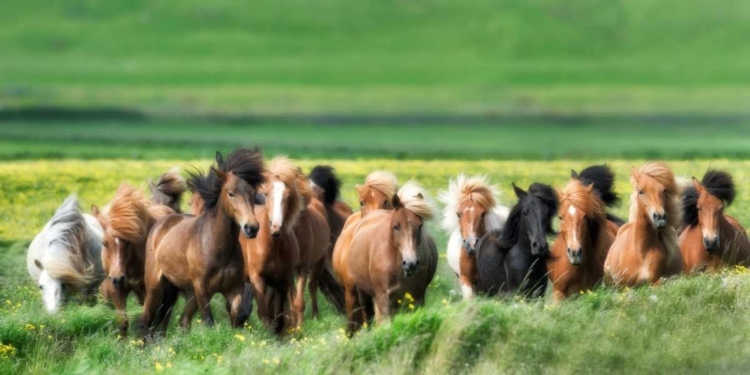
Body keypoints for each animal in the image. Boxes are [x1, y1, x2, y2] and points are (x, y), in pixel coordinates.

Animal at [93, 184, 175, 338]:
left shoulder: (150, 289)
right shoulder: (116, 289)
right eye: (105, 243)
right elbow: (123, 322)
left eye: (127, 242)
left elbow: (148, 317)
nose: (117, 278)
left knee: (166, 312)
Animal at [140, 148, 266, 340]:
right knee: (148, 316)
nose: (251, 227)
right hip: (156, 284)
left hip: (187, 292)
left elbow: (238, 315)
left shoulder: (233, 288)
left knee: (181, 320)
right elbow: (209, 321)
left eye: (253, 195)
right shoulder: (202, 288)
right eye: (231, 193)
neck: (218, 247)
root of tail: (161, 223)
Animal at [344, 182, 438, 334]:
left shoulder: (417, 297)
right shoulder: (383, 298)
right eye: (396, 226)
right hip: (364, 295)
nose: (410, 264)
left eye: (420, 226)